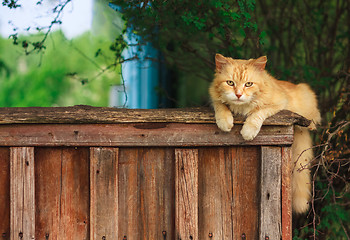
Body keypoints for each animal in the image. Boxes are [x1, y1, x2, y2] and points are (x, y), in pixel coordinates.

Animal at [209, 53, 322, 213]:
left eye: (248, 84)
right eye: (230, 83)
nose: (238, 94)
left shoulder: (279, 103)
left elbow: (258, 112)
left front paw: (248, 131)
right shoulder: (215, 99)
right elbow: (220, 106)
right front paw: (225, 121)